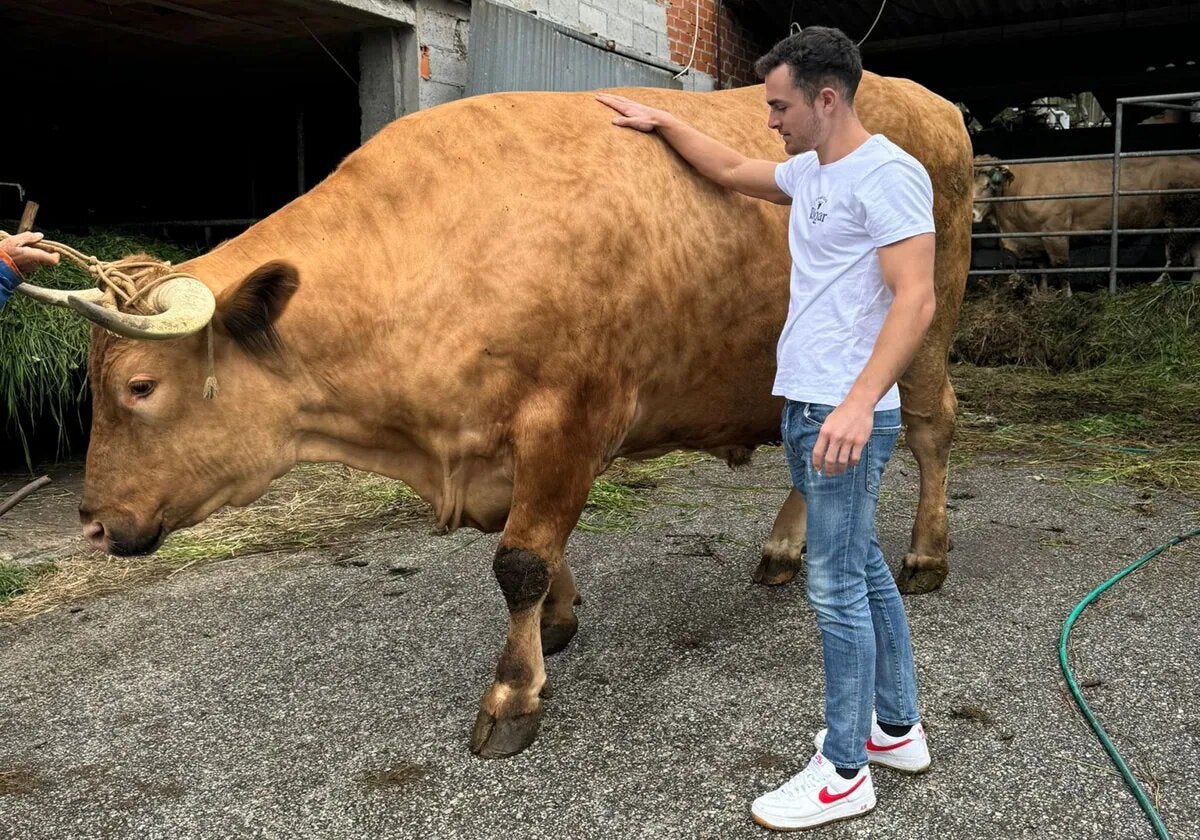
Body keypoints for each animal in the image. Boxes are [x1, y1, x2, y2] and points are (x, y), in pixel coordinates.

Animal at [21, 77, 974, 763]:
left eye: (141, 387)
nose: (93, 524)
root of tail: (923, 97)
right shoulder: (501, 449)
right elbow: (532, 547)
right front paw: (558, 621)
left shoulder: (571, 416)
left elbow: (519, 558)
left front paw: (513, 696)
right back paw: (782, 551)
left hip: (925, 329)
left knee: (931, 431)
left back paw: (927, 554)